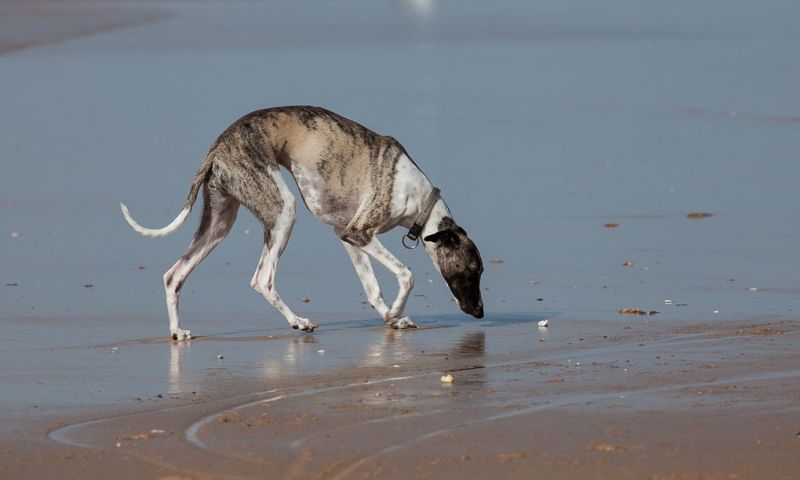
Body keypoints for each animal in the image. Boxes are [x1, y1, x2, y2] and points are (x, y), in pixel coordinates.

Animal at [122, 107, 484, 340]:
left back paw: (176, 331)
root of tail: (216, 148)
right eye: (472, 270)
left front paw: (391, 318)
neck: (421, 201)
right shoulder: (360, 232)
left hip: (220, 220)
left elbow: (372, 287)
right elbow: (407, 275)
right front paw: (395, 312)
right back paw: (299, 322)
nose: (480, 313)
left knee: (174, 275)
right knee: (262, 279)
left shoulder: (347, 235)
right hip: (283, 209)